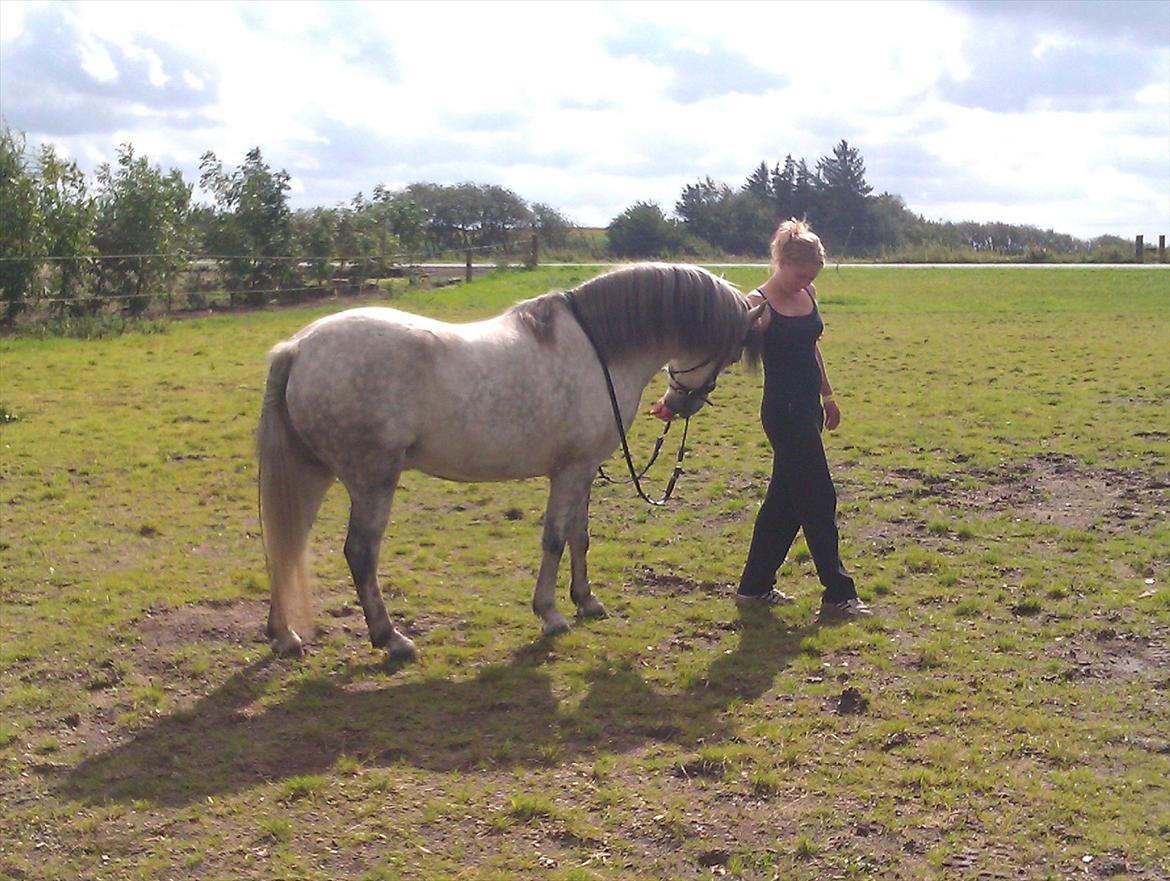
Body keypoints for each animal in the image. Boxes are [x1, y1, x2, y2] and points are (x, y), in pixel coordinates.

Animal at [257, 263, 767, 659]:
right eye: (731, 352)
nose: (681, 404)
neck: (599, 348)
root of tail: (298, 348)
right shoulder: (568, 472)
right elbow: (555, 539)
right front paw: (551, 614)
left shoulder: (582, 471)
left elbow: (580, 536)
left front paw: (587, 601)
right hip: (372, 480)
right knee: (359, 553)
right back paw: (391, 639)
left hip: (312, 475)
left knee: (286, 544)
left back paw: (285, 636)